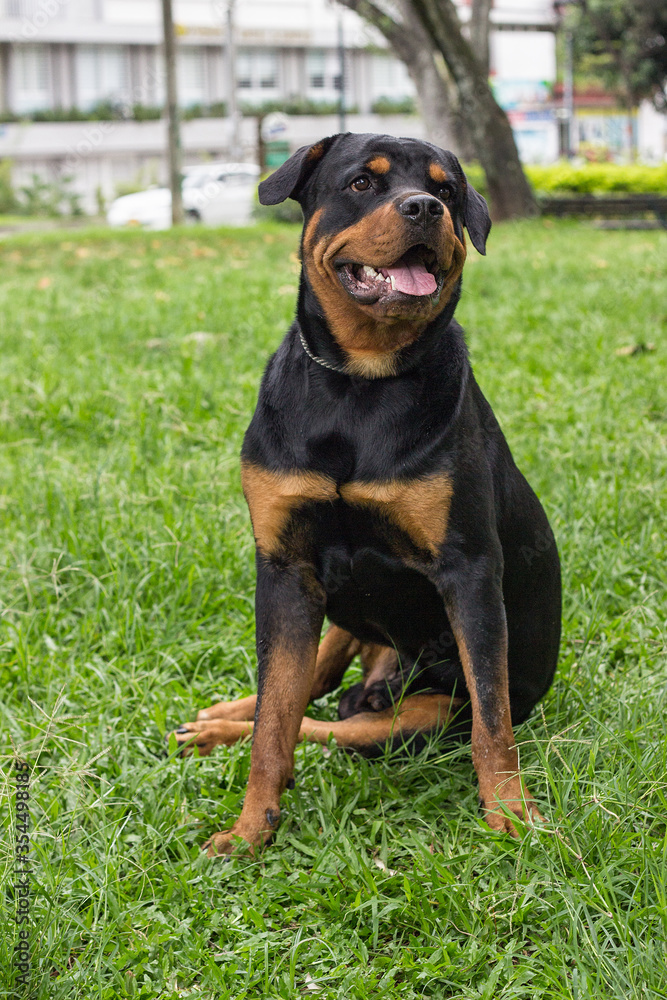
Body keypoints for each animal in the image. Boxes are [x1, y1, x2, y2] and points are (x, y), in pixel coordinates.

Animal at [172, 129, 564, 856]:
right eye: (362, 182)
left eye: (445, 190)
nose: (423, 208)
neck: (360, 382)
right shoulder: (286, 566)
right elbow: (276, 715)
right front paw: (249, 829)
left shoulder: (469, 569)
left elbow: (491, 719)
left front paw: (509, 812)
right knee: (307, 690)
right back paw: (221, 719)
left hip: (419, 711)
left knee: (336, 721)